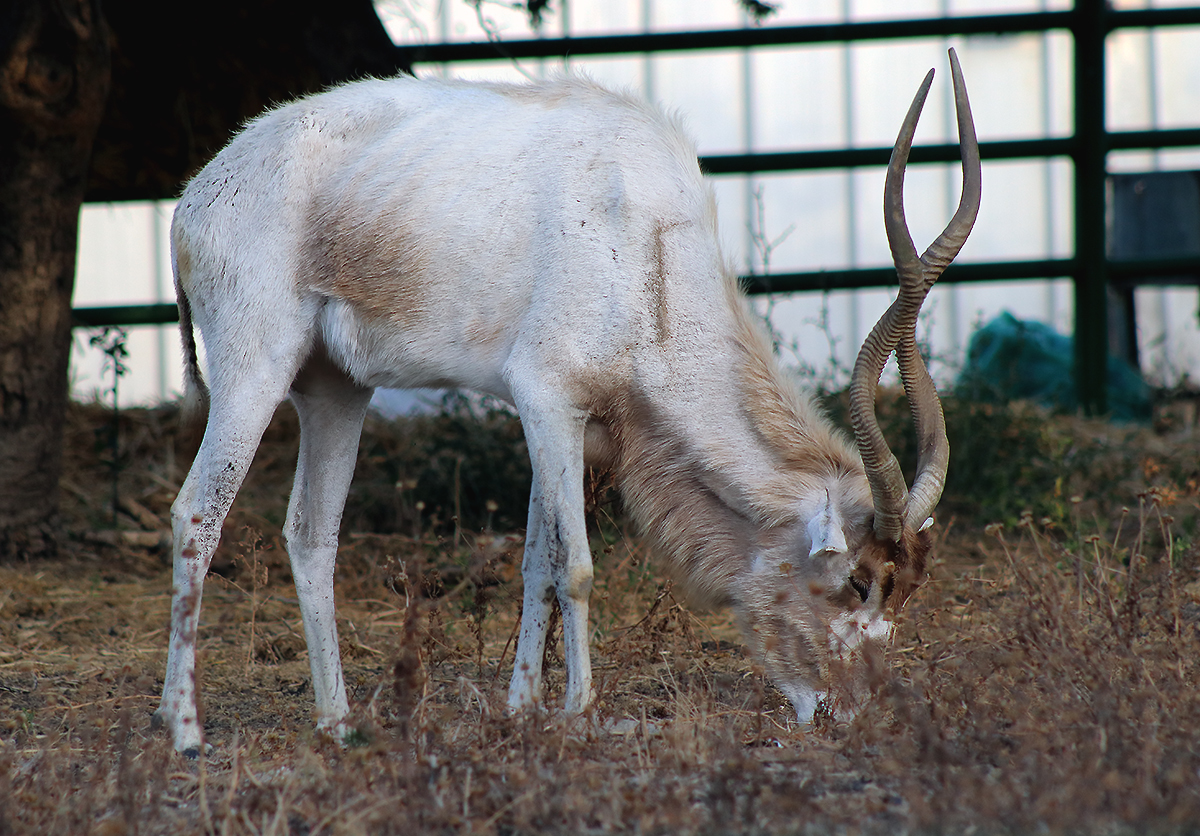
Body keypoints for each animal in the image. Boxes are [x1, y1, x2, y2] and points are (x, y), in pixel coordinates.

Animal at [154, 52, 979, 758]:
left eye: (900, 596)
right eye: (856, 583)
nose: (845, 712)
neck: (646, 242)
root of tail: (195, 199)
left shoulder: (572, 425)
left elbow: (536, 561)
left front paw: (522, 708)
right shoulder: (546, 398)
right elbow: (576, 565)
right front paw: (581, 712)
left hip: (336, 390)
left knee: (311, 533)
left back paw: (336, 722)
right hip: (255, 371)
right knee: (197, 511)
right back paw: (186, 730)